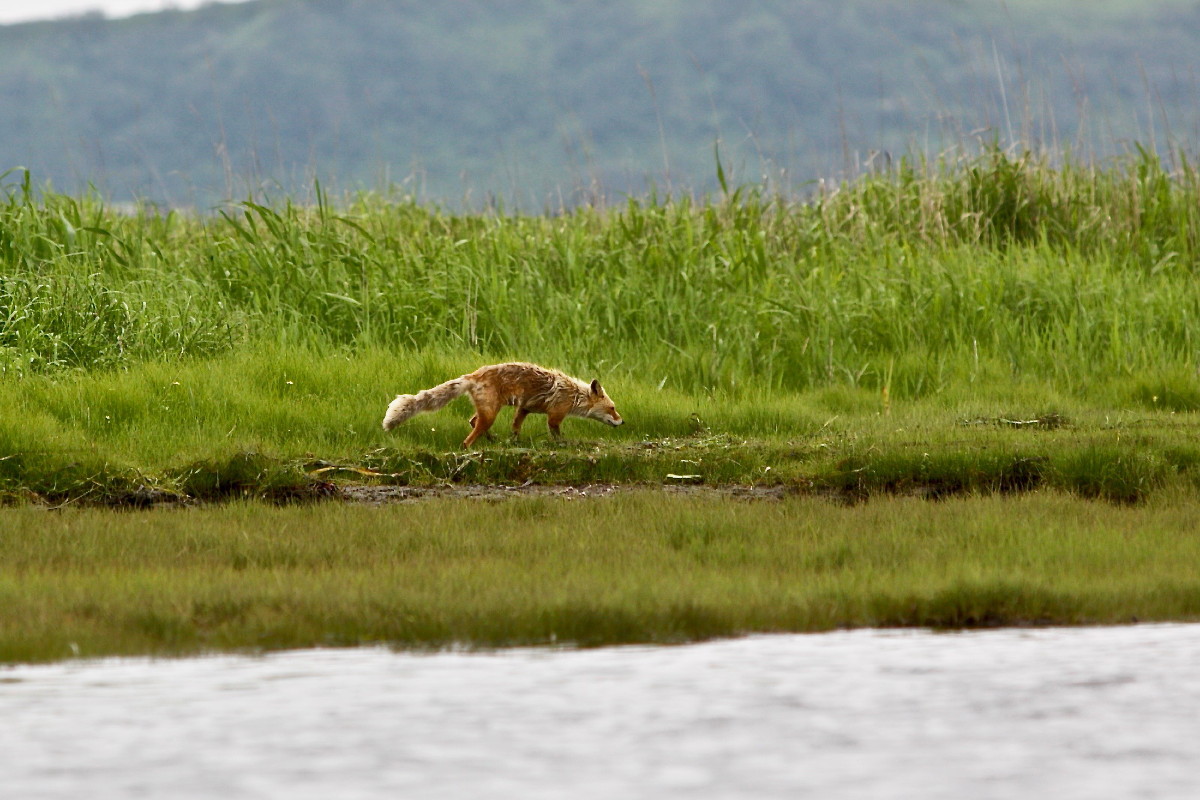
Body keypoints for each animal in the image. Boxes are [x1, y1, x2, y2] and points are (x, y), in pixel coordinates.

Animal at [384, 364, 628, 448]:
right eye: (612, 408)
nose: (623, 421)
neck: (574, 395)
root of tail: (473, 375)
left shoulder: (525, 408)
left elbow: (516, 427)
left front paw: (515, 441)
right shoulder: (555, 415)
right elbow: (556, 433)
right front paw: (564, 444)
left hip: (487, 412)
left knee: (472, 421)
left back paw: (492, 440)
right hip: (491, 413)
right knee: (468, 438)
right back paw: (470, 448)